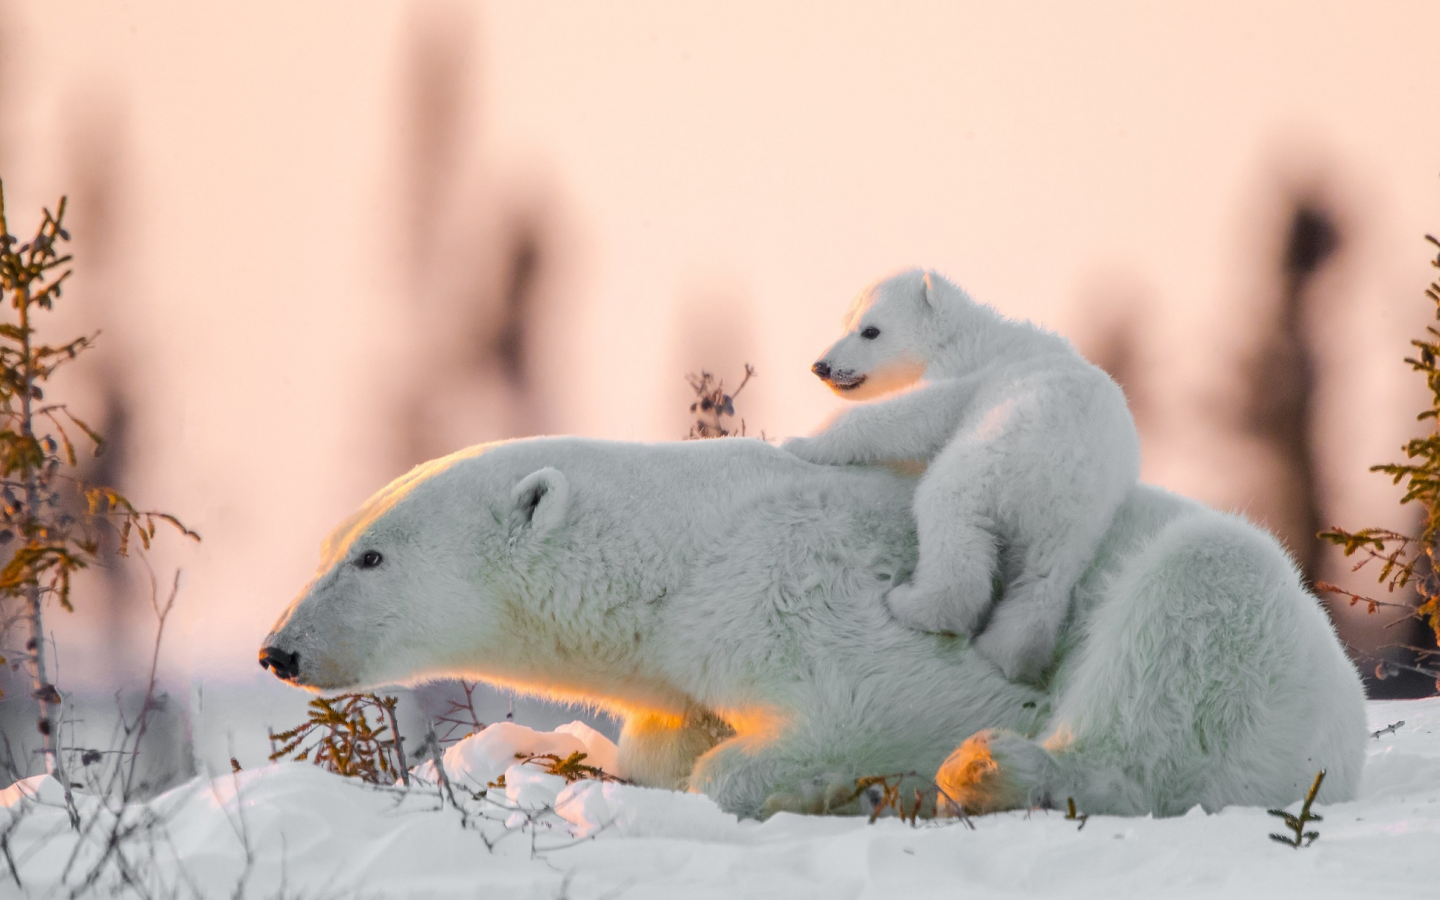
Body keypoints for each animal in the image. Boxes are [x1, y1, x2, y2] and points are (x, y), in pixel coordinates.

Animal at [253, 437, 1365, 823]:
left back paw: (995, 770)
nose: (279, 649)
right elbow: (664, 737)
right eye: (333, 542)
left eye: (371, 558)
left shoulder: (797, 587)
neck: (680, 548)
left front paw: (802, 778)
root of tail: (1349, 724)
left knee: (1179, 643)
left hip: (1239, 628)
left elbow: (884, 702)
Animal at [783, 267, 1140, 679]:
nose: (821, 366)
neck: (965, 331)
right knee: (1043, 580)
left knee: (949, 517)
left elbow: (912, 416)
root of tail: (1065, 475)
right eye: (846, 323)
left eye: (870, 330)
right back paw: (1007, 652)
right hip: (1078, 524)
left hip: (991, 457)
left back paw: (913, 604)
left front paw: (801, 443)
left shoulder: (967, 370)